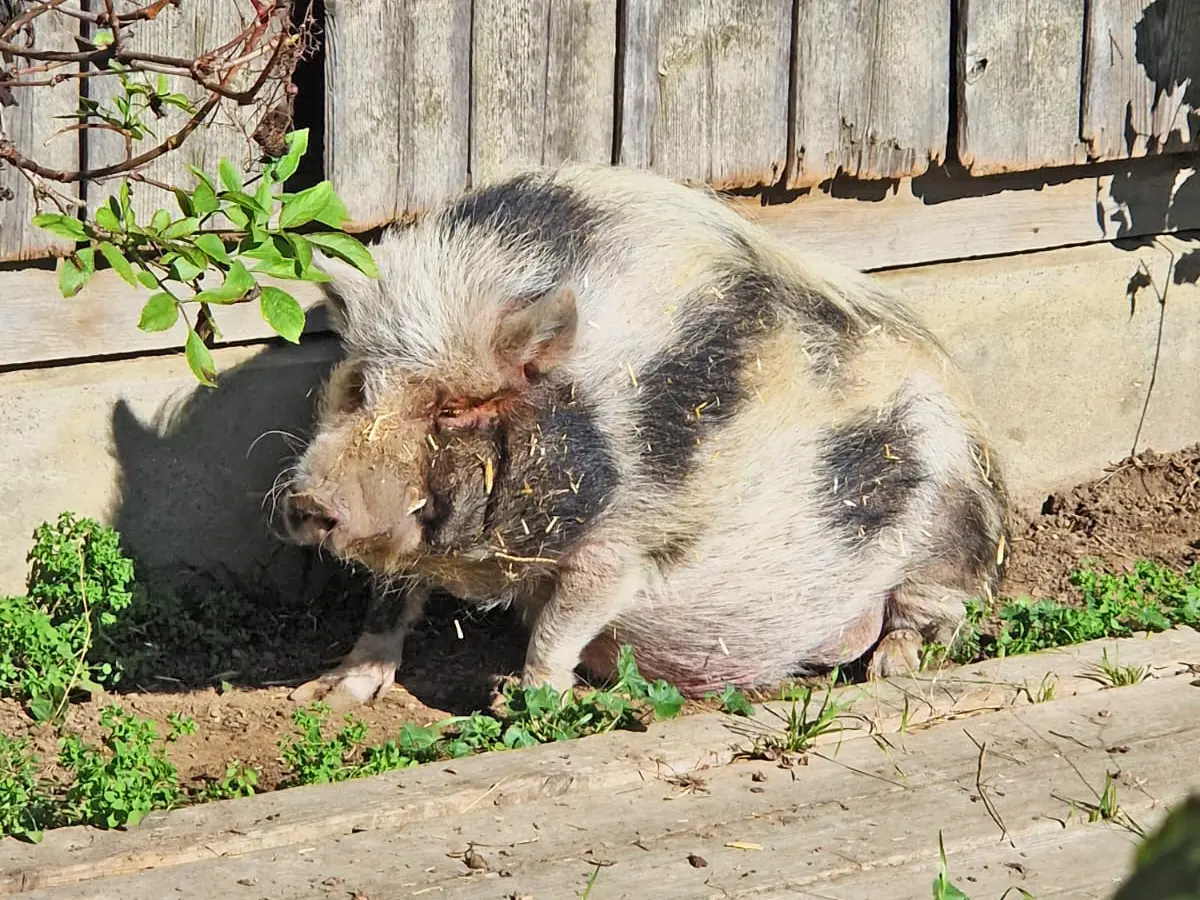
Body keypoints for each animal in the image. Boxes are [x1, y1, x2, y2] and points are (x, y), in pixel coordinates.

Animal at [277, 162, 1010, 708]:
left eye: (456, 408)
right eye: (360, 385)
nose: (311, 499)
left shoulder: (624, 547)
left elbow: (559, 626)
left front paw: (525, 700)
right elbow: (387, 601)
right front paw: (329, 694)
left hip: (949, 538)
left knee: (935, 613)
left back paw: (890, 670)